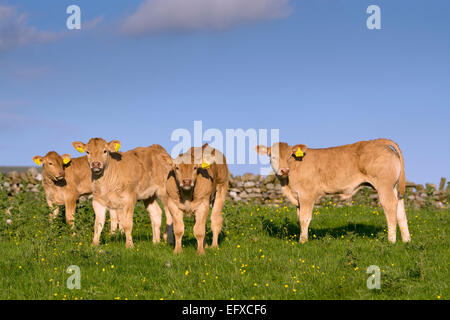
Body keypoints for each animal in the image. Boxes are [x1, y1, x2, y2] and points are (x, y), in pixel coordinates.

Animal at [256, 138, 412, 245]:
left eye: (289, 156)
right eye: (272, 156)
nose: (284, 170)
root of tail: (379, 141)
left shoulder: (307, 194)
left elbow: (304, 219)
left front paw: (303, 241)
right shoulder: (298, 198)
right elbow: (299, 218)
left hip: (384, 186)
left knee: (390, 208)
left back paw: (391, 240)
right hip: (394, 187)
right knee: (400, 210)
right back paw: (406, 240)